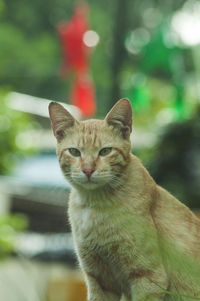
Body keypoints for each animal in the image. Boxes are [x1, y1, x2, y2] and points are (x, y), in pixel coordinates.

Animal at [48, 98, 200, 298]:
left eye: (105, 151)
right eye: (74, 152)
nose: (88, 170)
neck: (94, 204)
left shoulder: (149, 277)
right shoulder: (99, 280)